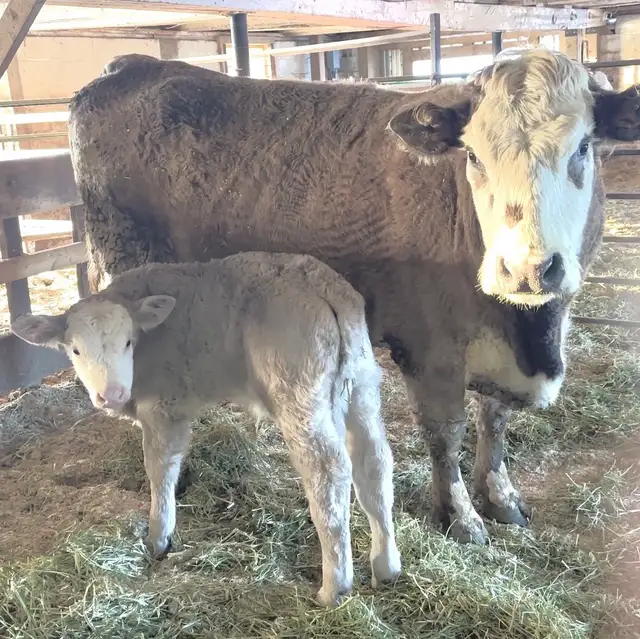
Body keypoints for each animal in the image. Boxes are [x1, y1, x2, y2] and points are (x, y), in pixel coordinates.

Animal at [11, 252, 402, 607]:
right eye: (76, 350)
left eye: (127, 342)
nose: (112, 394)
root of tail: (320, 283)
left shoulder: (163, 408)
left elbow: (160, 470)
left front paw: (158, 538)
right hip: (362, 381)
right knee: (374, 463)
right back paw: (386, 566)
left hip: (299, 391)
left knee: (328, 473)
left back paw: (334, 588)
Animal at [66, 48, 640, 546]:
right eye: (473, 155)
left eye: (583, 147)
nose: (526, 269)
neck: (527, 330)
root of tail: (132, 66)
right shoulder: (429, 347)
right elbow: (446, 433)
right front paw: (459, 515)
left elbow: (494, 421)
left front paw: (500, 496)